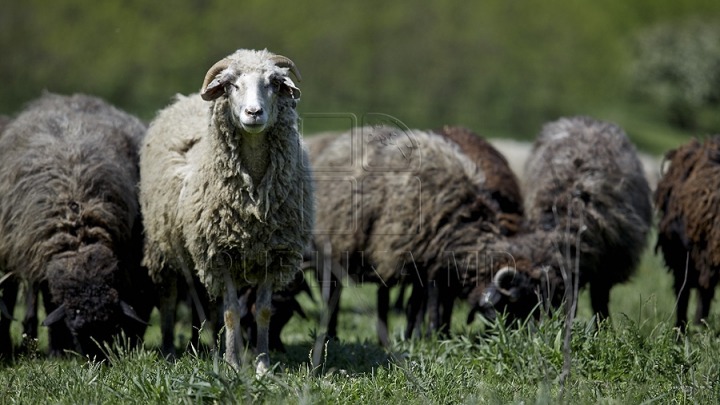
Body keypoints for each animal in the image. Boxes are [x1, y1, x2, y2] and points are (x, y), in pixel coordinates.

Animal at [0, 92, 153, 356]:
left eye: (111, 325)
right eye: (75, 329)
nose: (95, 360)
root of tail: (71, 97)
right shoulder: (42, 260)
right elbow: (49, 303)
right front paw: (56, 352)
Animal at [139, 48, 314, 372]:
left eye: (274, 82)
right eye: (231, 84)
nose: (254, 113)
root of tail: (183, 99)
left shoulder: (274, 254)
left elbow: (262, 311)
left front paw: (261, 366)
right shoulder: (220, 254)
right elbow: (232, 311)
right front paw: (233, 365)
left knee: (207, 302)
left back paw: (210, 349)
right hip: (164, 246)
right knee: (169, 299)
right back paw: (169, 351)